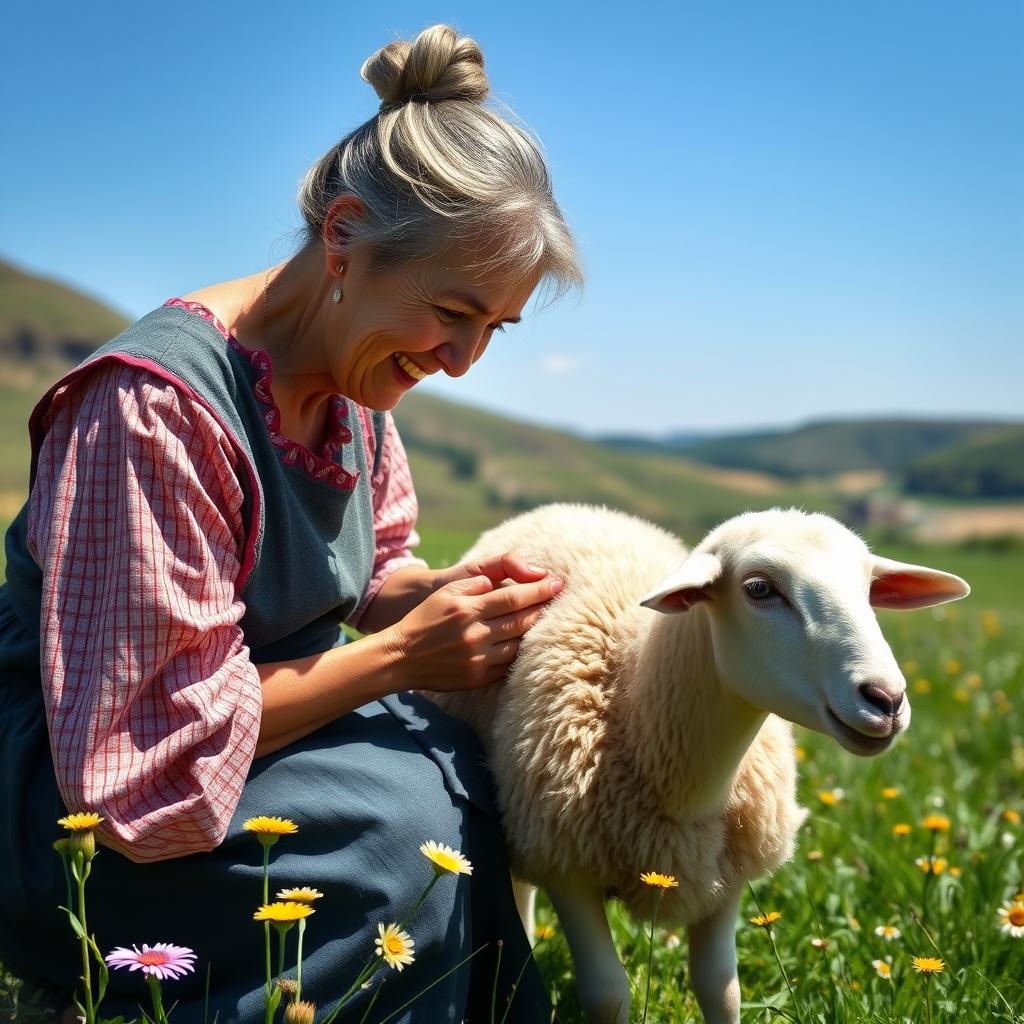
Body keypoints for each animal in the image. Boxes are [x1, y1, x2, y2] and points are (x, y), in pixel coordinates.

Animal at [428, 503, 970, 1024]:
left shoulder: (727, 873)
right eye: (759, 589)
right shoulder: (567, 863)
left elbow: (721, 991)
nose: (887, 699)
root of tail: (559, 507)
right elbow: (608, 995)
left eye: (868, 587)